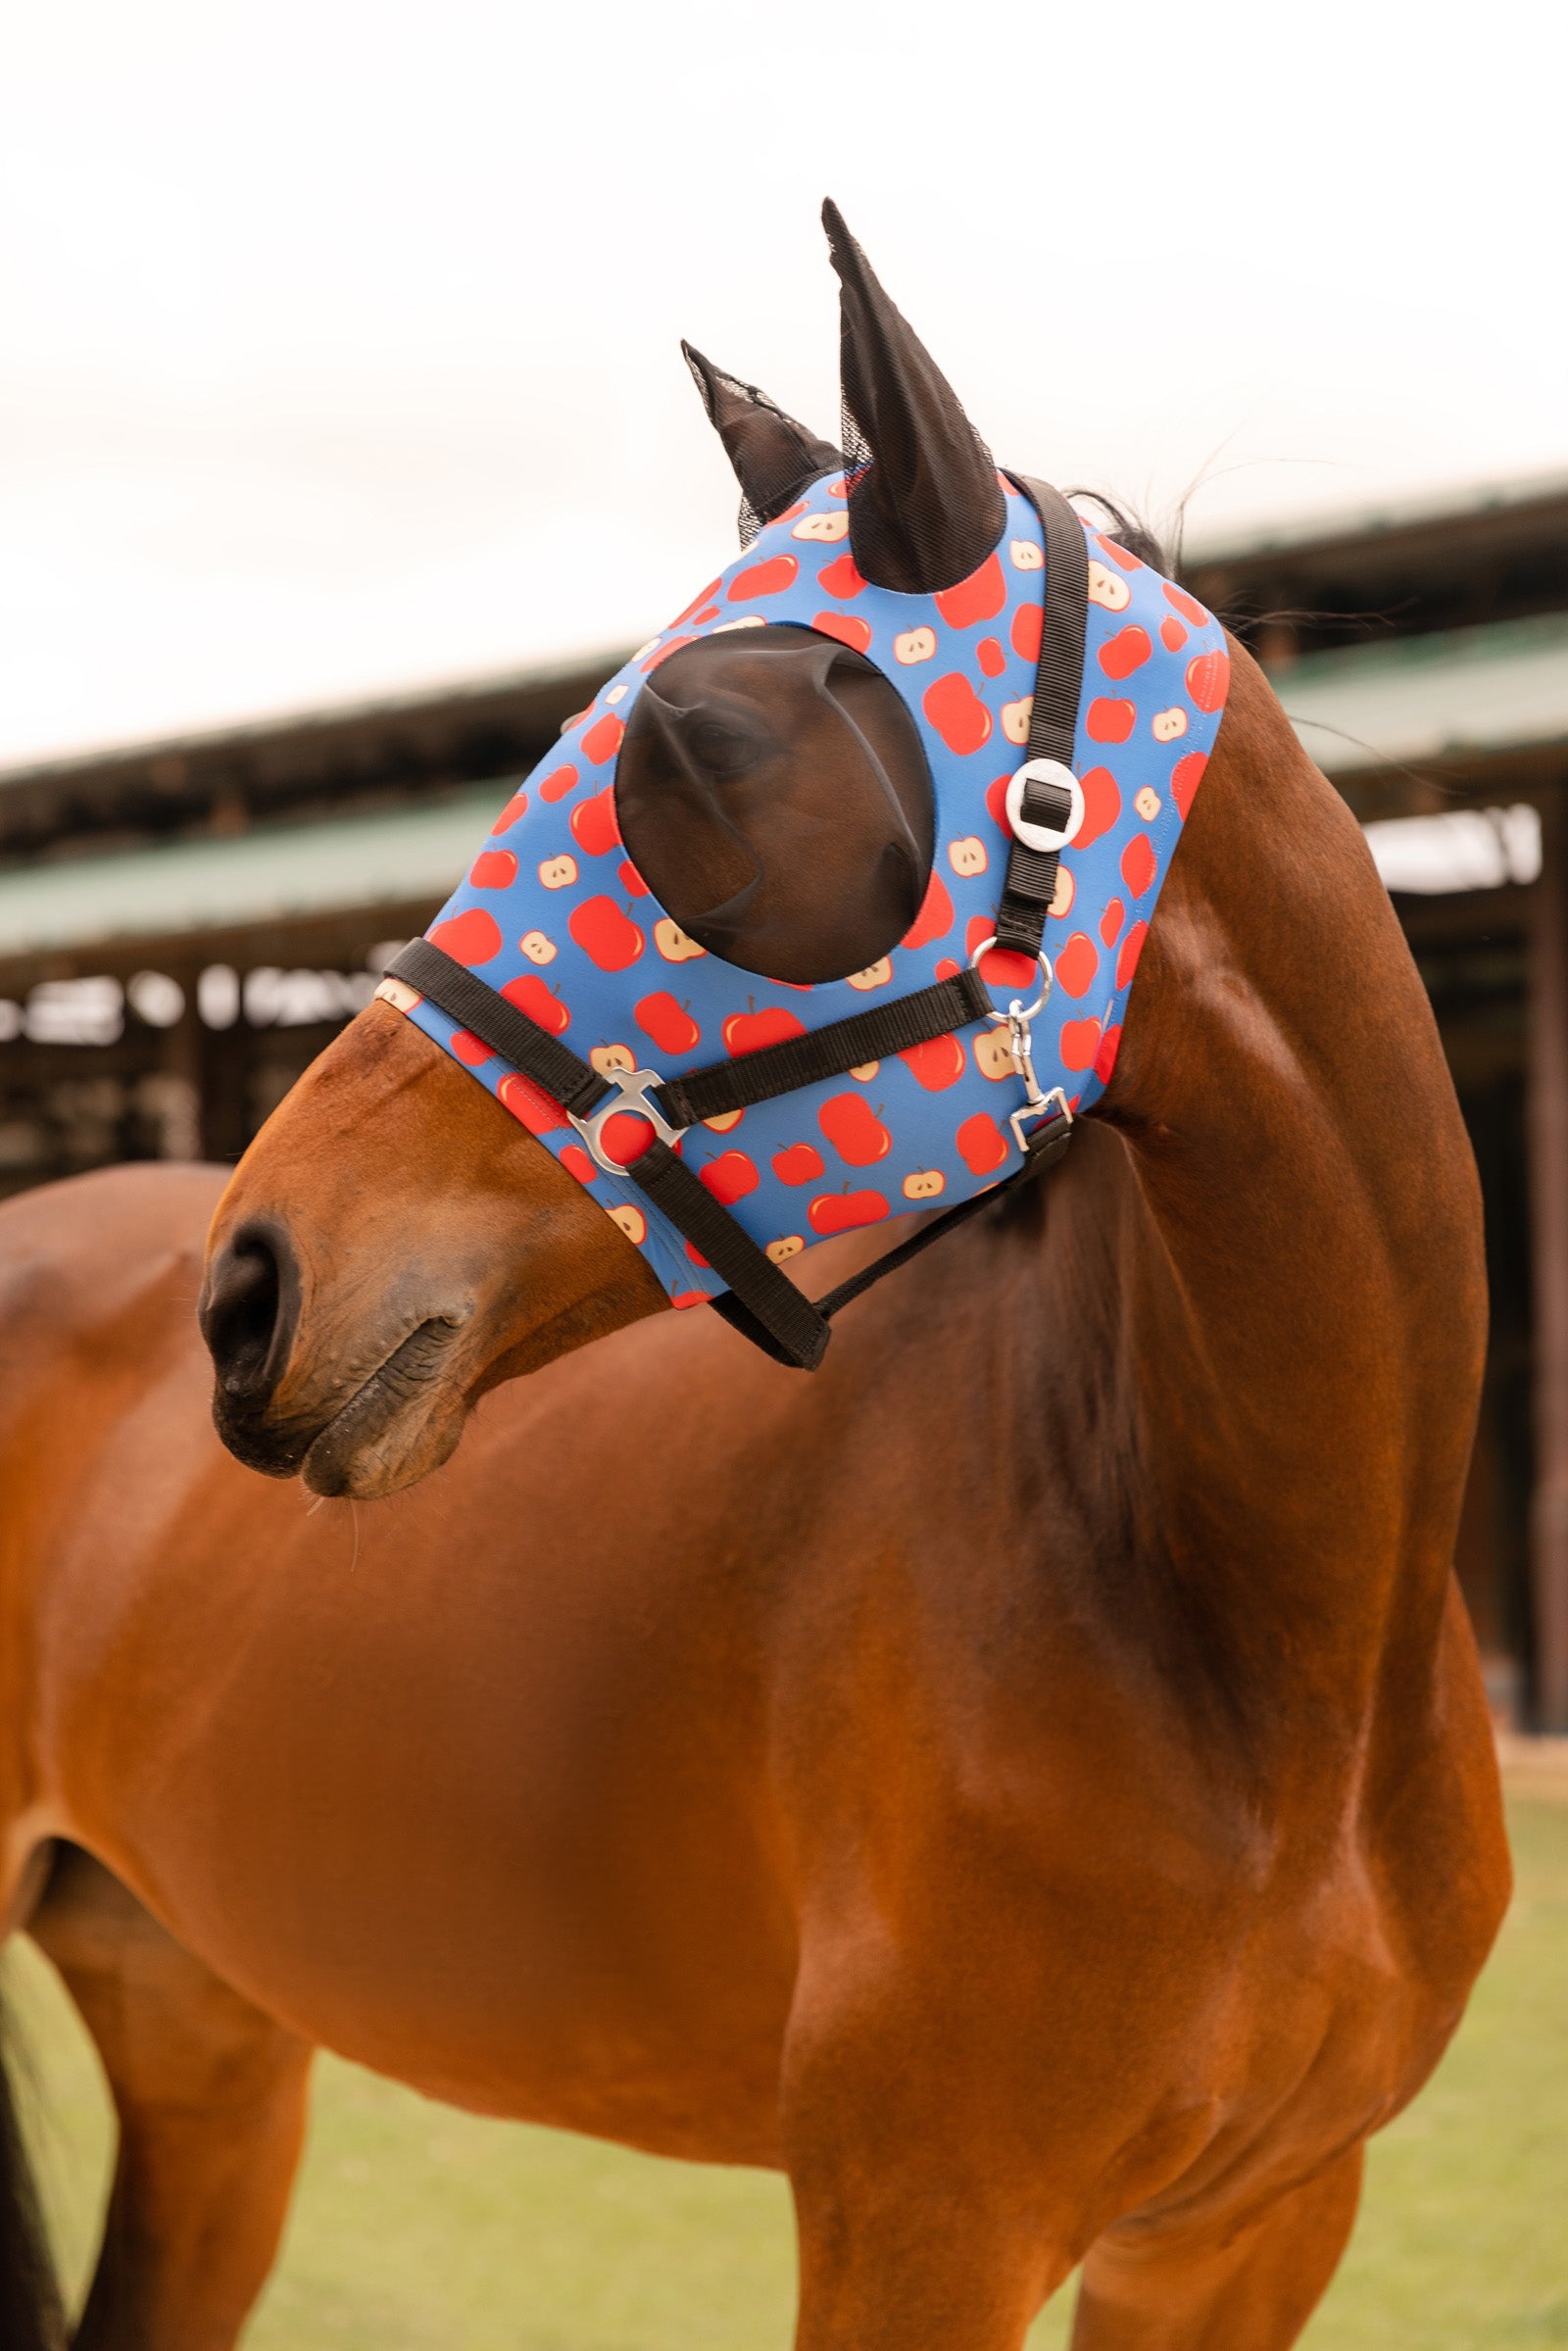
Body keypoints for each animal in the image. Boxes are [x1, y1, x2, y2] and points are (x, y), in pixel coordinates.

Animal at [0, 207, 1509, 2351]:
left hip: (207, 2027)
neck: (1284, 1671)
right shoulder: (922, 2222)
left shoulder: (1248, 2230)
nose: (252, 1289)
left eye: (696, 746)